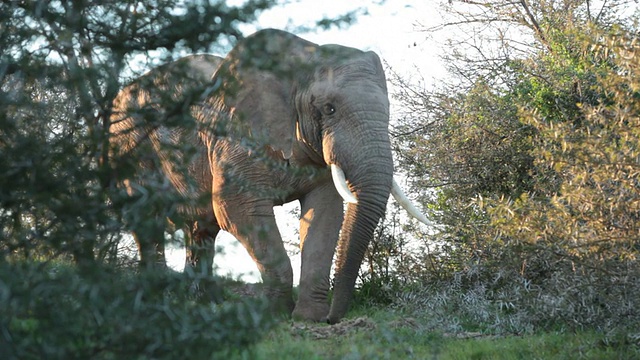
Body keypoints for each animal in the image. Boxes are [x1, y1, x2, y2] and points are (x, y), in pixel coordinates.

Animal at [110, 29, 430, 324]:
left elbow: (325, 213)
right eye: (329, 109)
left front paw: (308, 318)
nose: (334, 319)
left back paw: (204, 302)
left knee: (201, 229)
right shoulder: (235, 137)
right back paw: (155, 300)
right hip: (128, 150)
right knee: (147, 222)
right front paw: (275, 315)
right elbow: (236, 208)